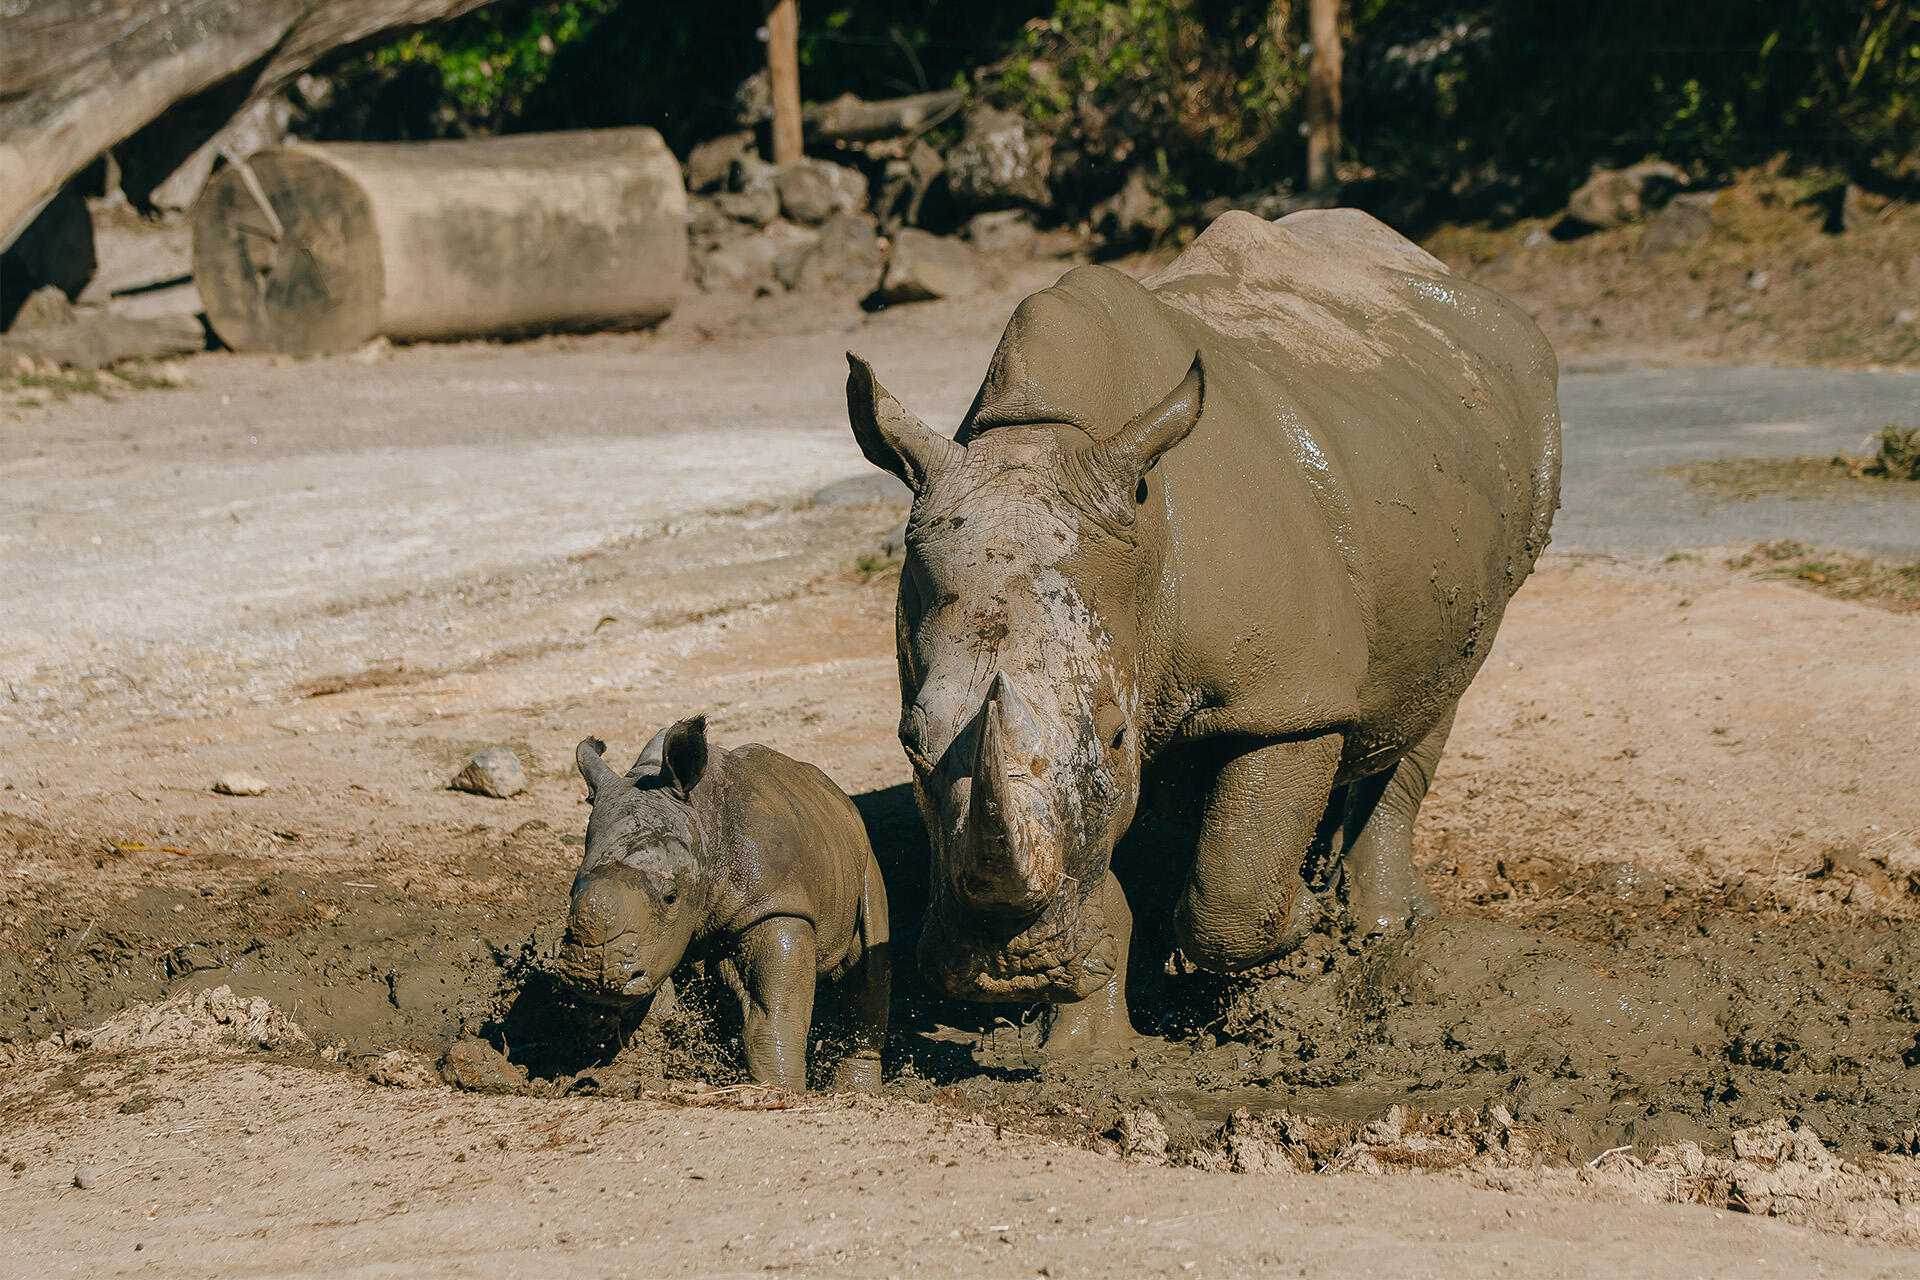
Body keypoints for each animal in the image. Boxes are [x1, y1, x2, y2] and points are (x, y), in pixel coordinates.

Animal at [552, 721, 887, 1090]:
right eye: (572, 889)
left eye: (671, 896)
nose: (588, 976)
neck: (703, 824)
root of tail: (839, 798)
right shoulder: (654, 944)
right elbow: (653, 1013)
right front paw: (634, 1081)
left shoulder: (773, 904)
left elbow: (773, 1013)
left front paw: (780, 1089)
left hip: (863, 861)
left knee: (868, 961)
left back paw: (856, 1091)